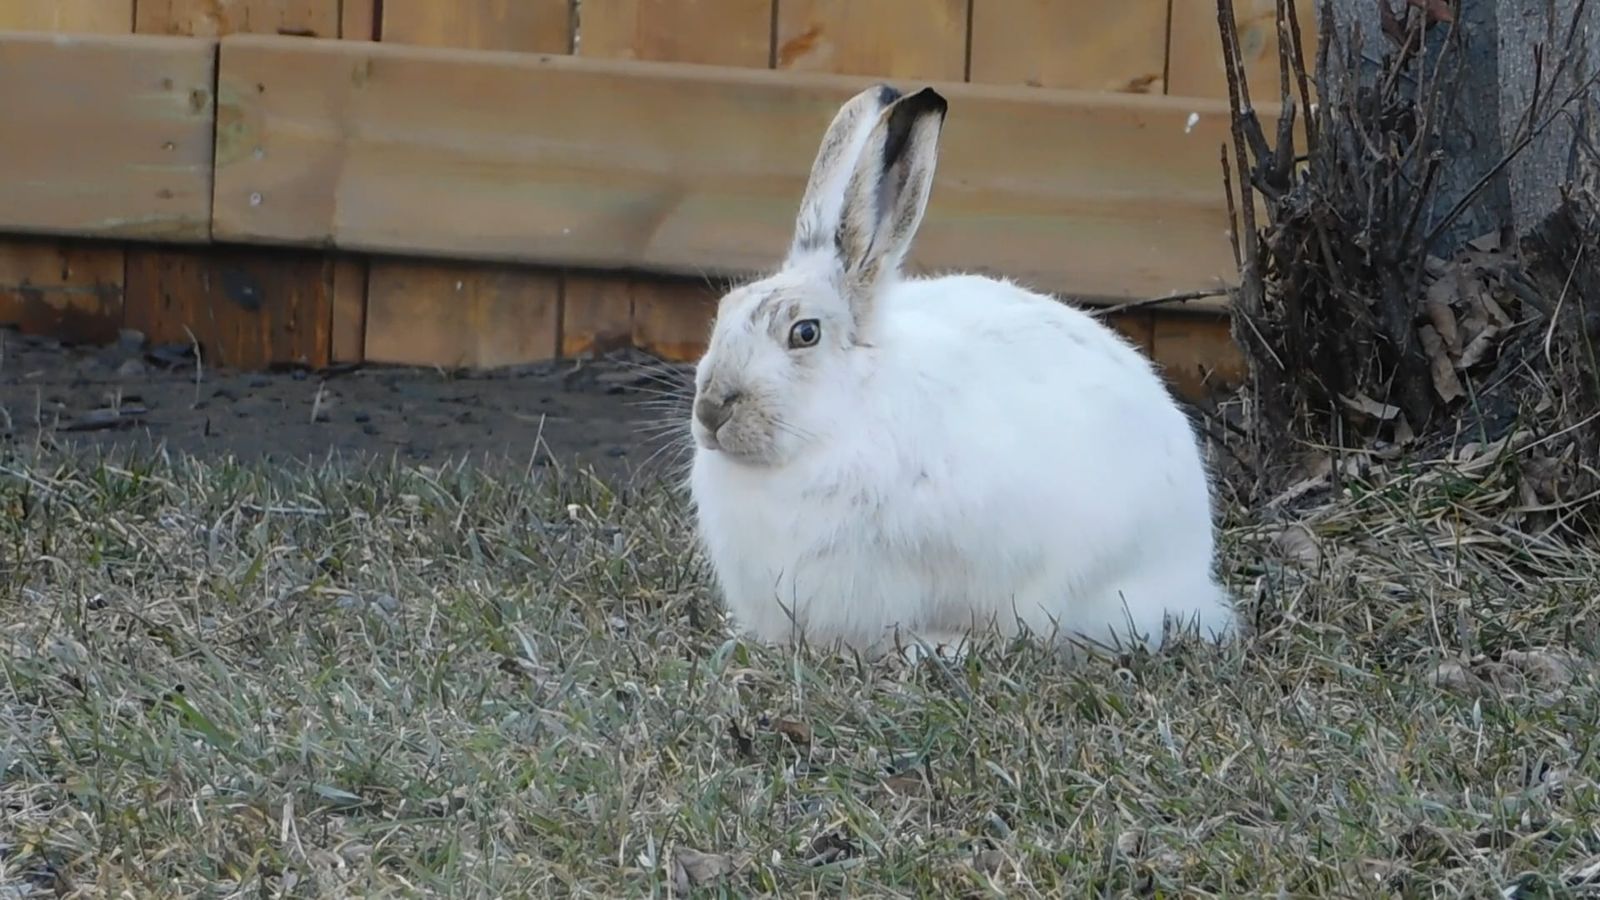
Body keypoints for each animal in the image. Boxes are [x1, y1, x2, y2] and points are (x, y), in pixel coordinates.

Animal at [685, 83, 1236, 658]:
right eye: (725, 310)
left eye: (805, 333)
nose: (711, 411)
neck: (826, 430)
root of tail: (1195, 575)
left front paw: (933, 647)